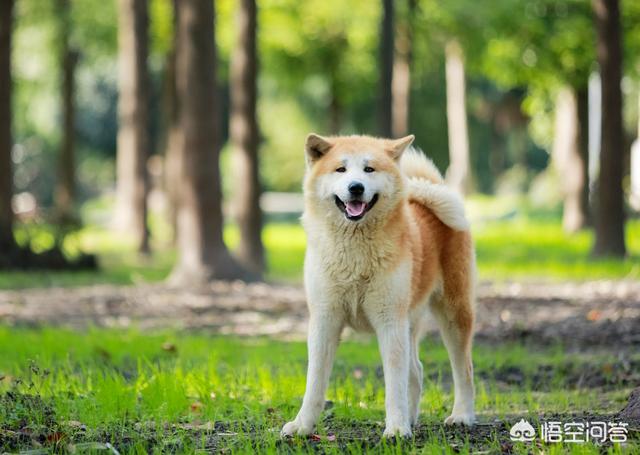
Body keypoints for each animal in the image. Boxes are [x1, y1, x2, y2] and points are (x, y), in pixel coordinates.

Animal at [282, 134, 478, 438]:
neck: (354, 254)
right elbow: (314, 384)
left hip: (452, 314)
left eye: (369, 169)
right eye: (341, 169)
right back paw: (412, 418)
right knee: (417, 371)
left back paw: (461, 415)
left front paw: (395, 429)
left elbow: (394, 385)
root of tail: (428, 197)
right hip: (410, 322)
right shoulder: (325, 320)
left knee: (463, 370)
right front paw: (302, 426)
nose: (356, 187)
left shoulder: (389, 322)